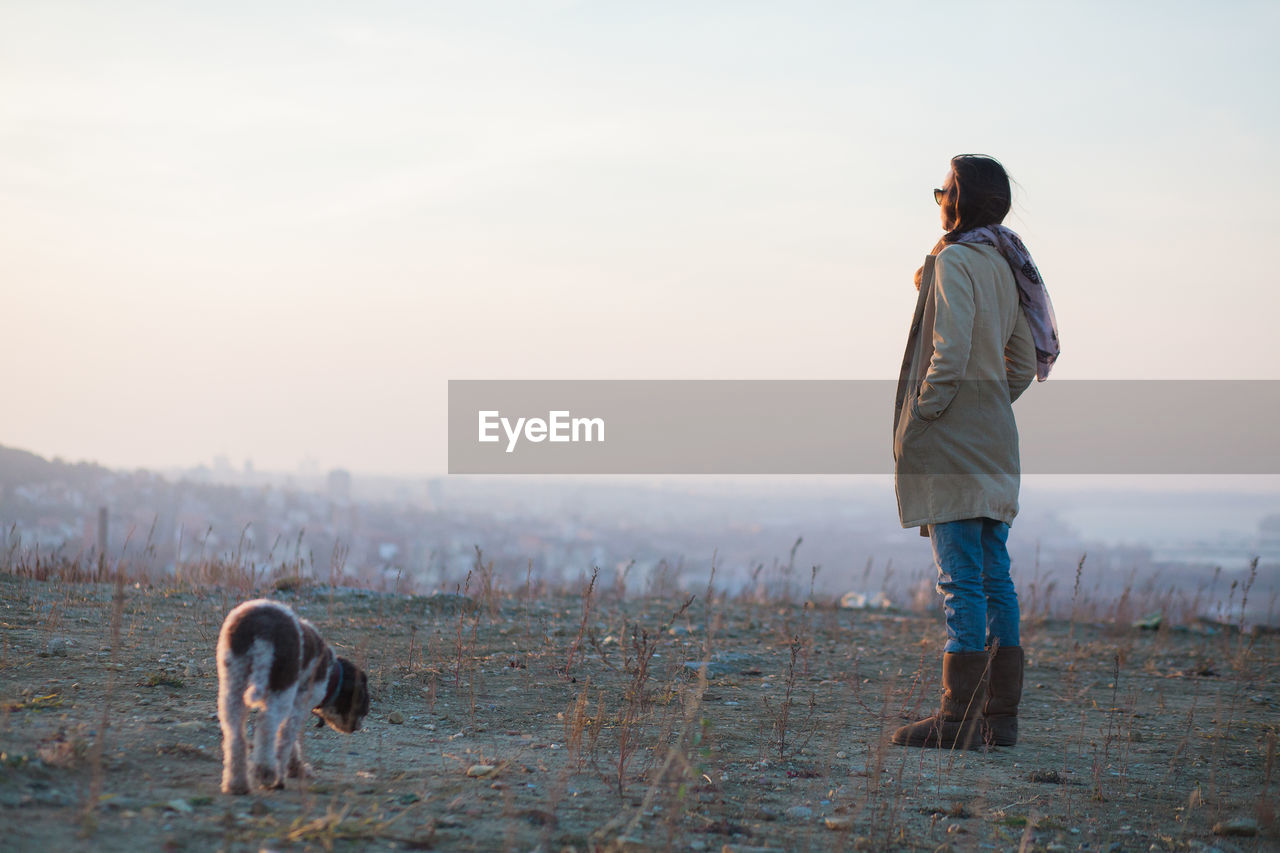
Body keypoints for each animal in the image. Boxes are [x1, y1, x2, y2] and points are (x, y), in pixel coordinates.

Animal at [216, 596, 371, 788]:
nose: (359, 727)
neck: (331, 674)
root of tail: (263, 629)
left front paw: (296, 768)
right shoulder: (300, 705)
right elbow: (286, 738)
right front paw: (285, 773)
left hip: (234, 680)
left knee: (234, 732)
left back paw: (236, 784)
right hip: (280, 687)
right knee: (267, 726)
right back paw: (267, 774)